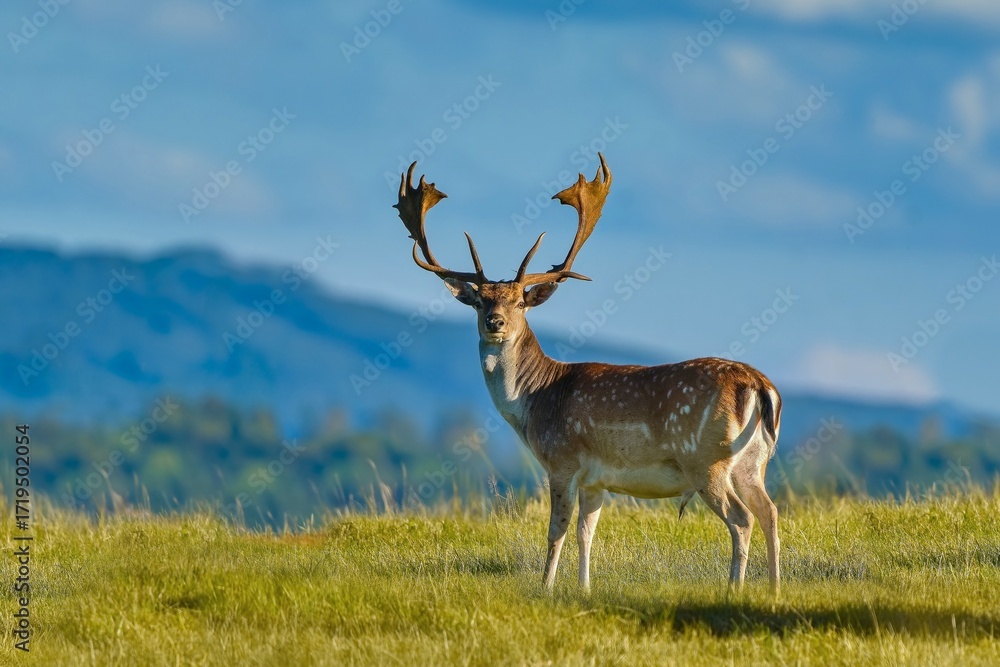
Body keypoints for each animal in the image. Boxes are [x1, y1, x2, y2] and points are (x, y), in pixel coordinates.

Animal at [393, 154, 782, 595]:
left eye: (519, 302)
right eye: (480, 301)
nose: (495, 322)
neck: (535, 402)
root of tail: (761, 387)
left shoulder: (562, 461)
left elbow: (557, 530)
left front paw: (545, 587)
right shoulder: (597, 480)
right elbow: (587, 533)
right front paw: (584, 589)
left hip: (706, 458)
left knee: (742, 518)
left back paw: (734, 587)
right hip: (753, 461)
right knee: (770, 512)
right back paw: (774, 588)